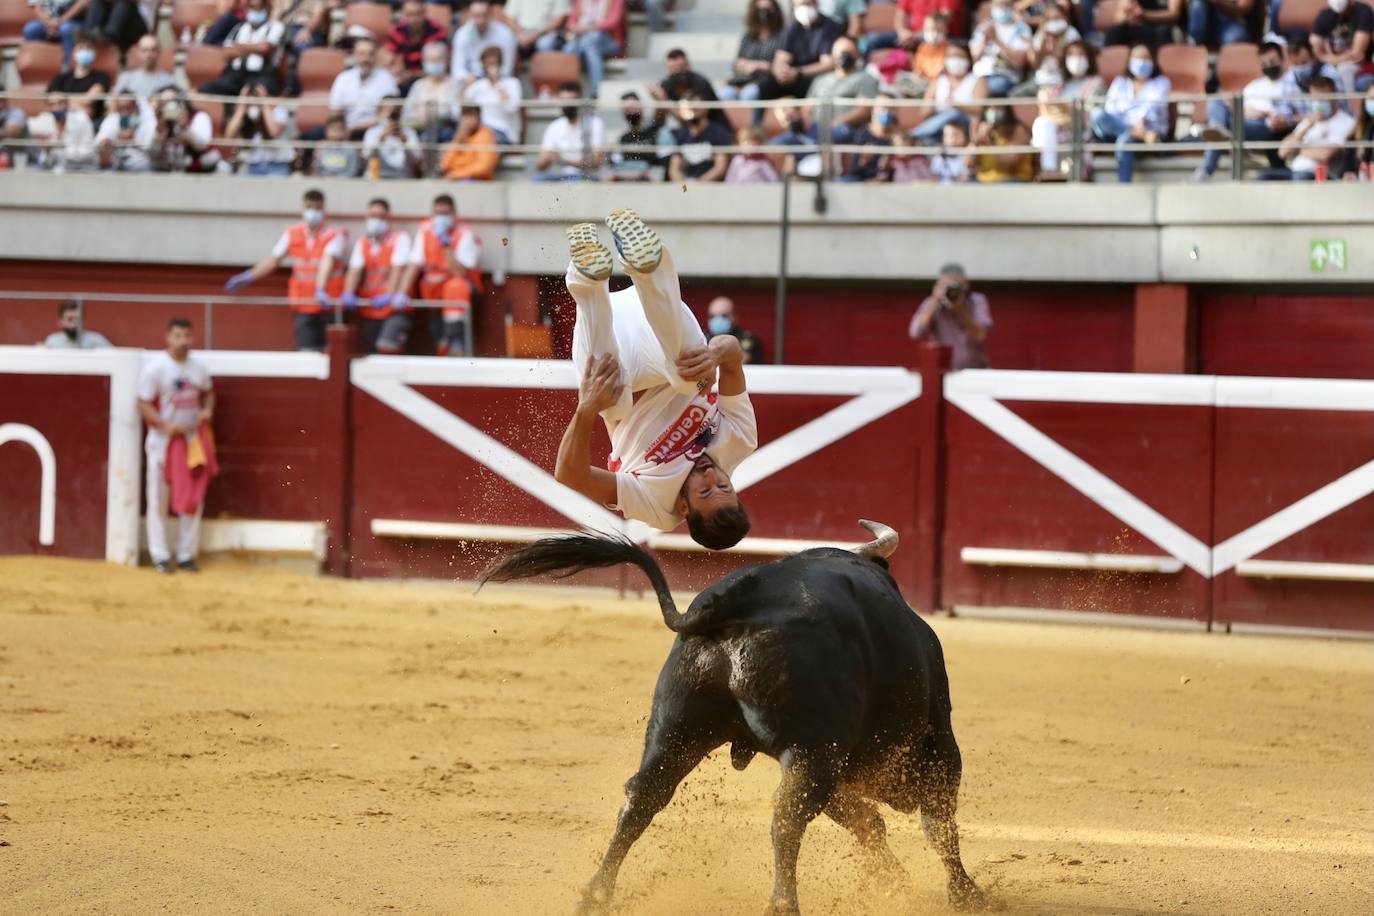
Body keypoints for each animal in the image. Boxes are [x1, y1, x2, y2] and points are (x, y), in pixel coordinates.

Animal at [480, 519, 989, 911]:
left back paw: (596, 895)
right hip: (812, 751)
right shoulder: (931, 743)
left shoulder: (838, 766)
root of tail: (736, 603)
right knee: (787, 818)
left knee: (641, 798)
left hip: (676, 728)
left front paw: (896, 883)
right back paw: (783, 904)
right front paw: (965, 894)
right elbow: (936, 825)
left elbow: (869, 822)